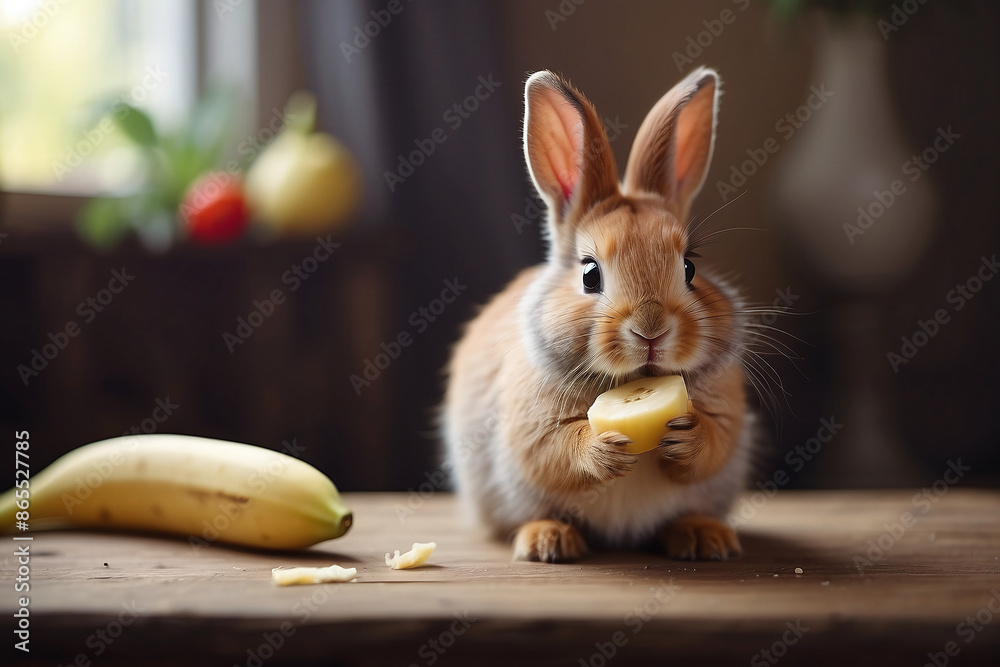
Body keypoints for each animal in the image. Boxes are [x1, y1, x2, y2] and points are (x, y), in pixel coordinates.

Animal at [442, 67, 755, 563]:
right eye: (590, 274)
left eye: (690, 267)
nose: (651, 330)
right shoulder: (529, 427)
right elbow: (554, 452)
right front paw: (604, 449)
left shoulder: (729, 417)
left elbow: (714, 443)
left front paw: (686, 434)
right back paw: (549, 541)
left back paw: (706, 538)